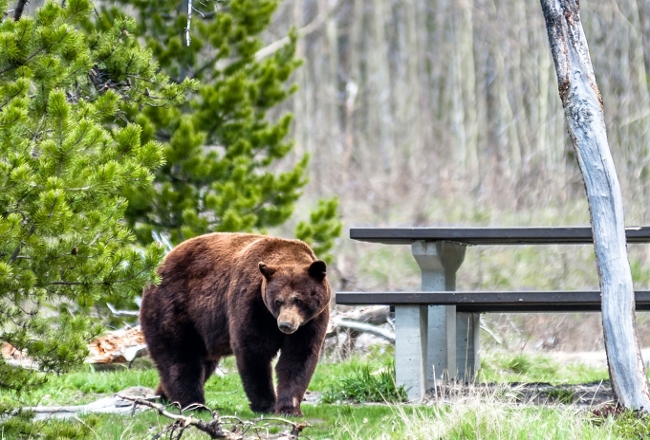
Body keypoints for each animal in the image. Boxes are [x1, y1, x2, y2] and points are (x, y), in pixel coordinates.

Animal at [137, 234, 330, 416]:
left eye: (298, 300)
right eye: (278, 301)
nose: (285, 325)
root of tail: (159, 266)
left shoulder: (311, 321)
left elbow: (298, 357)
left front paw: (289, 408)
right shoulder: (251, 303)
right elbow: (254, 351)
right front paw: (266, 404)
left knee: (202, 363)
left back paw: (163, 396)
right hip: (175, 307)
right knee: (180, 356)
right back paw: (193, 404)